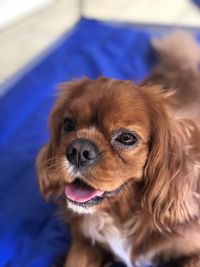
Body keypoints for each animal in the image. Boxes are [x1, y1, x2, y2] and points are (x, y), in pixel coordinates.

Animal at [36, 31, 200, 267]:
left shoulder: (193, 253)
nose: (79, 150)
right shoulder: (84, 243)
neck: (122, 215)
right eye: (68, 124)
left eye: (126, 138)